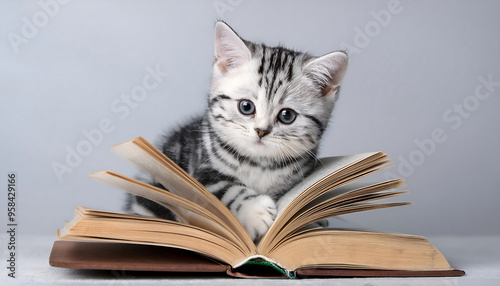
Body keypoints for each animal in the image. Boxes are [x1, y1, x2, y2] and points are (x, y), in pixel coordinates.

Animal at [126, 22, 348, 241]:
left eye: (287, 115)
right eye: (246, 107)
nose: (261, 131)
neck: (260, 164)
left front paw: (308, 222)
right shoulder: (201, 170)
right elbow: (225, 188)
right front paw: (255, 211)